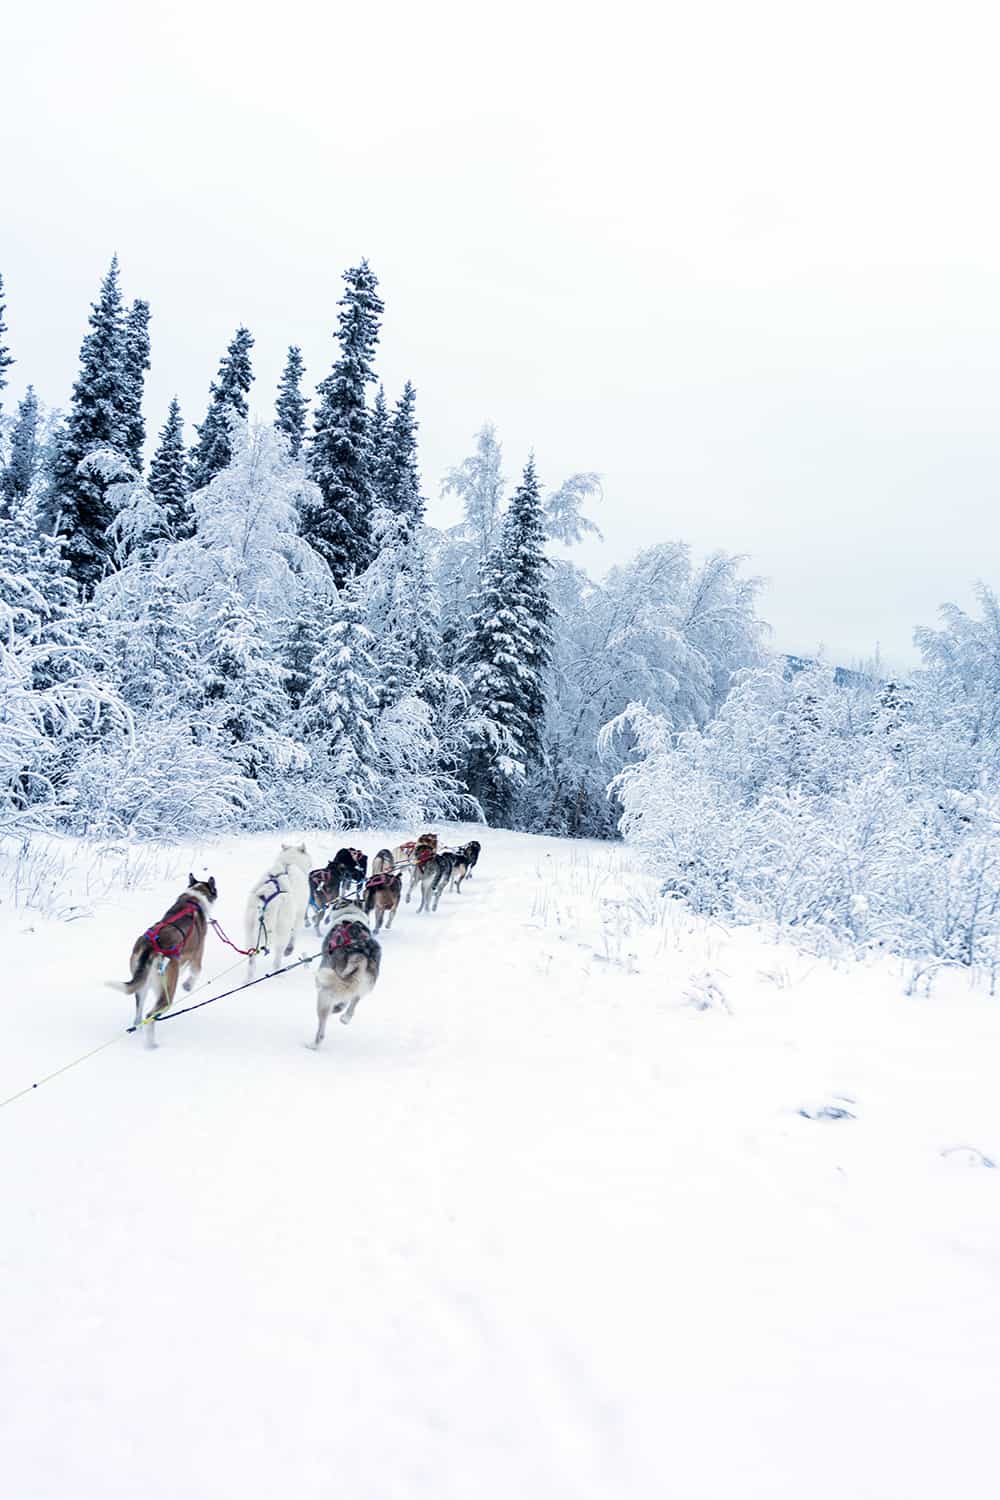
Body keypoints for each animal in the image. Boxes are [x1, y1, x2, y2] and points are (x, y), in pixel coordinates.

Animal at [245, 840, 313, 978]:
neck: (289, 862)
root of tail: (267, 899)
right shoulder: (299, 913)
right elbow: (294, 934)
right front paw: (290, 949)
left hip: (250, 933)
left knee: (251, 961)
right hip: (283, 927)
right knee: (278, 955)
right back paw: (278, 972)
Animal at [310, 894, 380, 1050]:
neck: (351, 914)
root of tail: (361, 953)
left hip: (325, 993)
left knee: (322, 1029)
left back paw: (313, 1045)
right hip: (362, 983)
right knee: (354, 1000)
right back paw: (344, 1016)